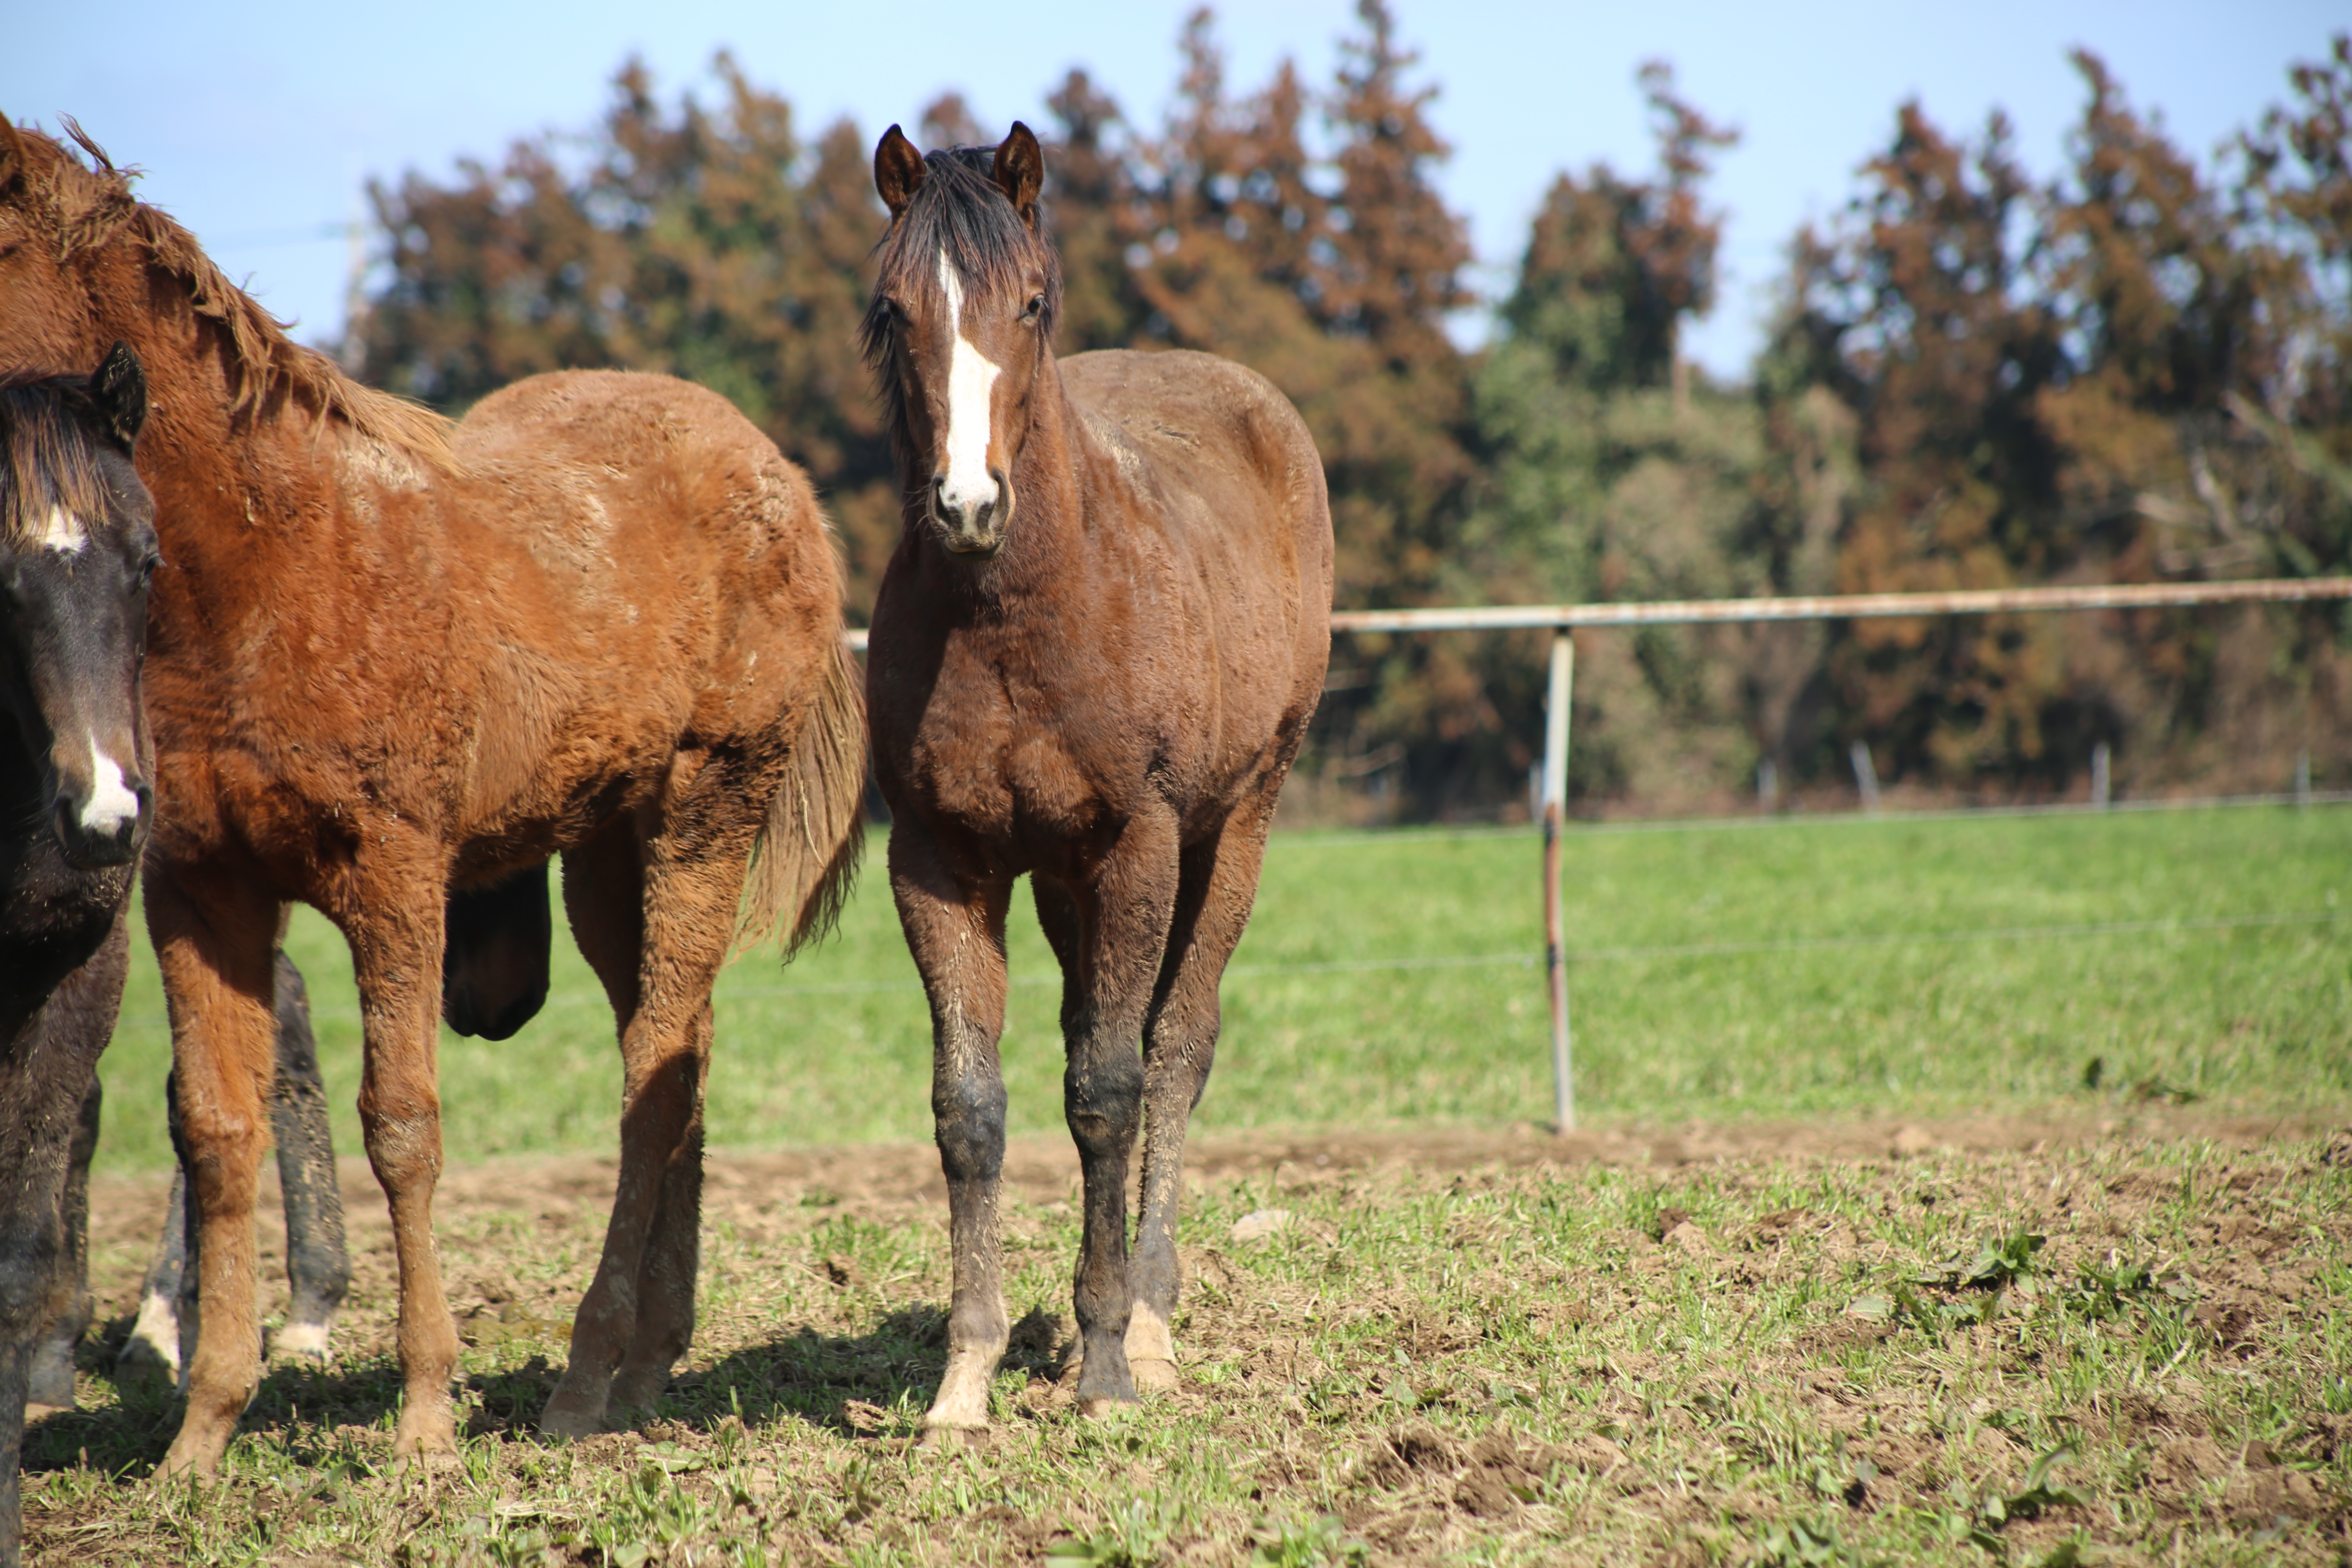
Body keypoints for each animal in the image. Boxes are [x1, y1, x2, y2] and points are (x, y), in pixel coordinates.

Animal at [0, 126, 870, 1476]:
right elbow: (216, 1129)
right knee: (678, 1047)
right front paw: (204, 1429)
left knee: (651, 1068)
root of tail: (784, 478)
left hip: (705, 812)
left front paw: (422, 1416)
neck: (271, 569)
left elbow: (400, 1122)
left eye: (137, 556)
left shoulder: (393, 873)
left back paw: (587, 1376)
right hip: (608, 854)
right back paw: (649, 1358)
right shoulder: (197, 887)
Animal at [870, 120, 1345, 1420]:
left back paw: (1154, 1318)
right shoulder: (939, 860)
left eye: (1030, 302)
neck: (1016, 615)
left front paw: (1105, 1365)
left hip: (1234, 827)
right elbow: (970, 1109)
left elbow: (1109, 1091)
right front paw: (965, 1380)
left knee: (1176, 1051)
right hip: (1059, 882)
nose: (966, 505)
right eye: (892, 310)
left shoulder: (1138, 841)